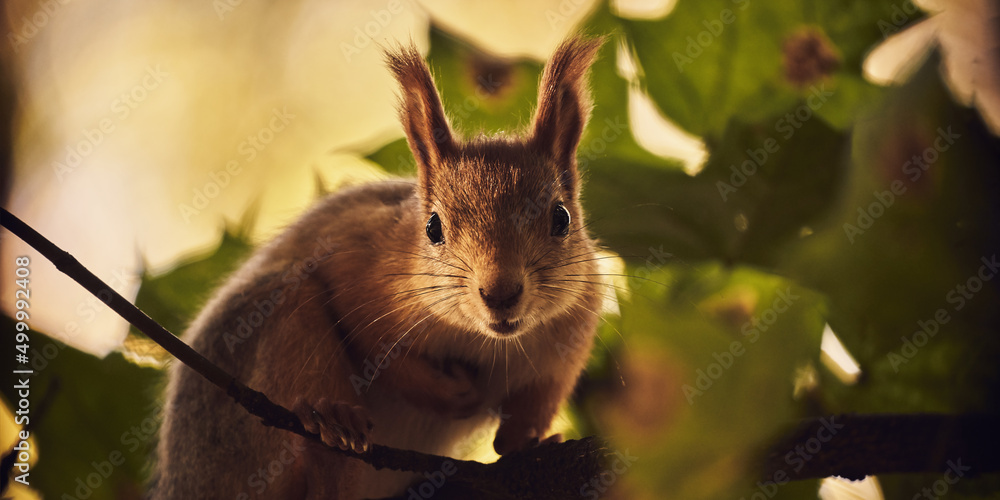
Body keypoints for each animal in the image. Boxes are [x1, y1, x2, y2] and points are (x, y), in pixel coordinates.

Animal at [153, 36, 605, 499]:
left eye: (561, 218)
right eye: (433, 227)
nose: (500, 293)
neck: (484, 339)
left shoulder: (572, 330)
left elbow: (530, 412)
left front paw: (530, 441)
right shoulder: (357, 267)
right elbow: (378, 349)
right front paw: (453, 394)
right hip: (267, 343)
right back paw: (332, 417)